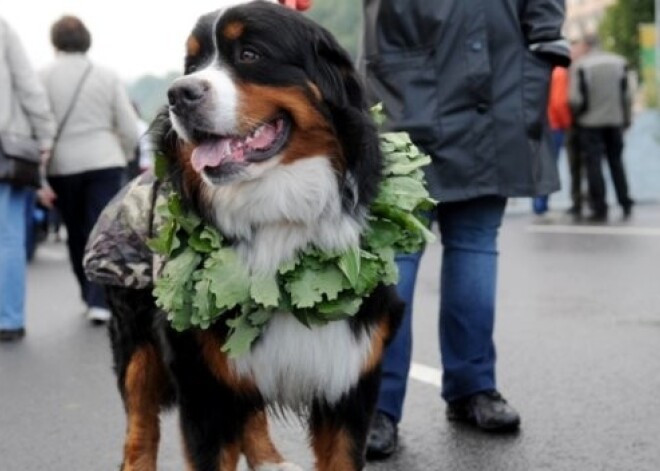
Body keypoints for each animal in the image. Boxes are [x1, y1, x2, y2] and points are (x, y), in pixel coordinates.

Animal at [105, 1, 400, 470]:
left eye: (249, 54)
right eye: (192, 65)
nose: (178, 94)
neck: (279, 217)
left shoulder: (349, 376)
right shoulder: (203, 386)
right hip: (137, 343)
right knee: (140, 424)